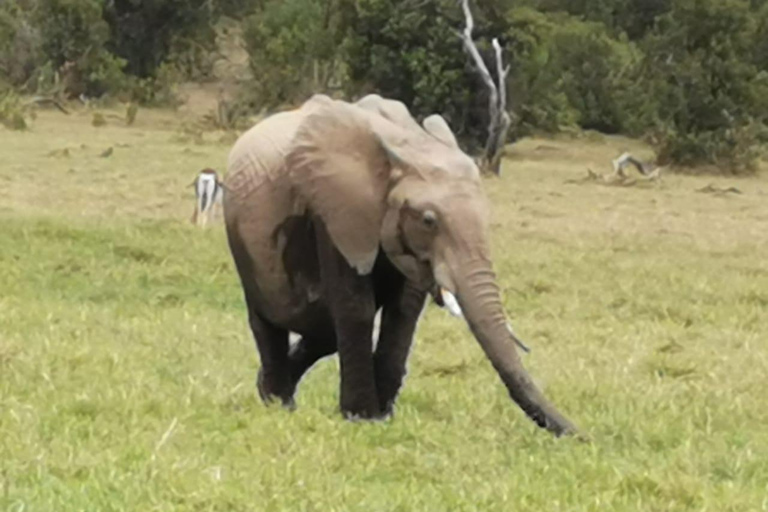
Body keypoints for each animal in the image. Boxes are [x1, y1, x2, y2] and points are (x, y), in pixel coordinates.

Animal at [222, 93, 576, 436]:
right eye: (428, 220)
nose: (579, 435)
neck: (404, 147)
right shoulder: (337, 211)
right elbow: (356, 307)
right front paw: (363, 418)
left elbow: (404, 310)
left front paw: (383, 416)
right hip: (240, 235)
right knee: (269, 320)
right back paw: (277, 402)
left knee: (324, 330)